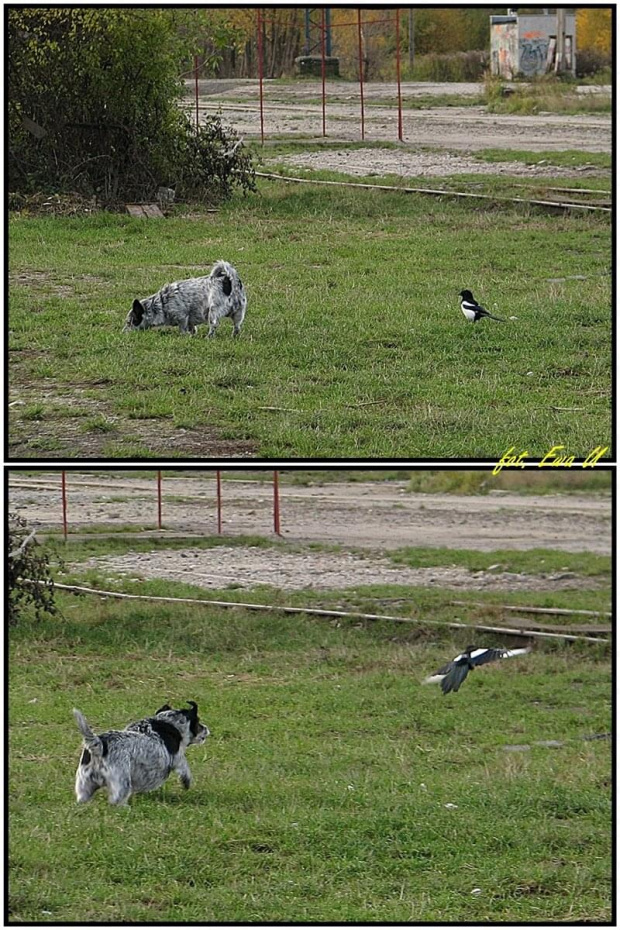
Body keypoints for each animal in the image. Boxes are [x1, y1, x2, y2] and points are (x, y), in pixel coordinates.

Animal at [73, 700, 209, 800]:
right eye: (198, 722)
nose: (207, 729)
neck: (168, 723)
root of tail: (100, 745)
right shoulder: (176, 757)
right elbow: (185, 767)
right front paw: (187, 782)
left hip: (83, 781)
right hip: (121, 782)